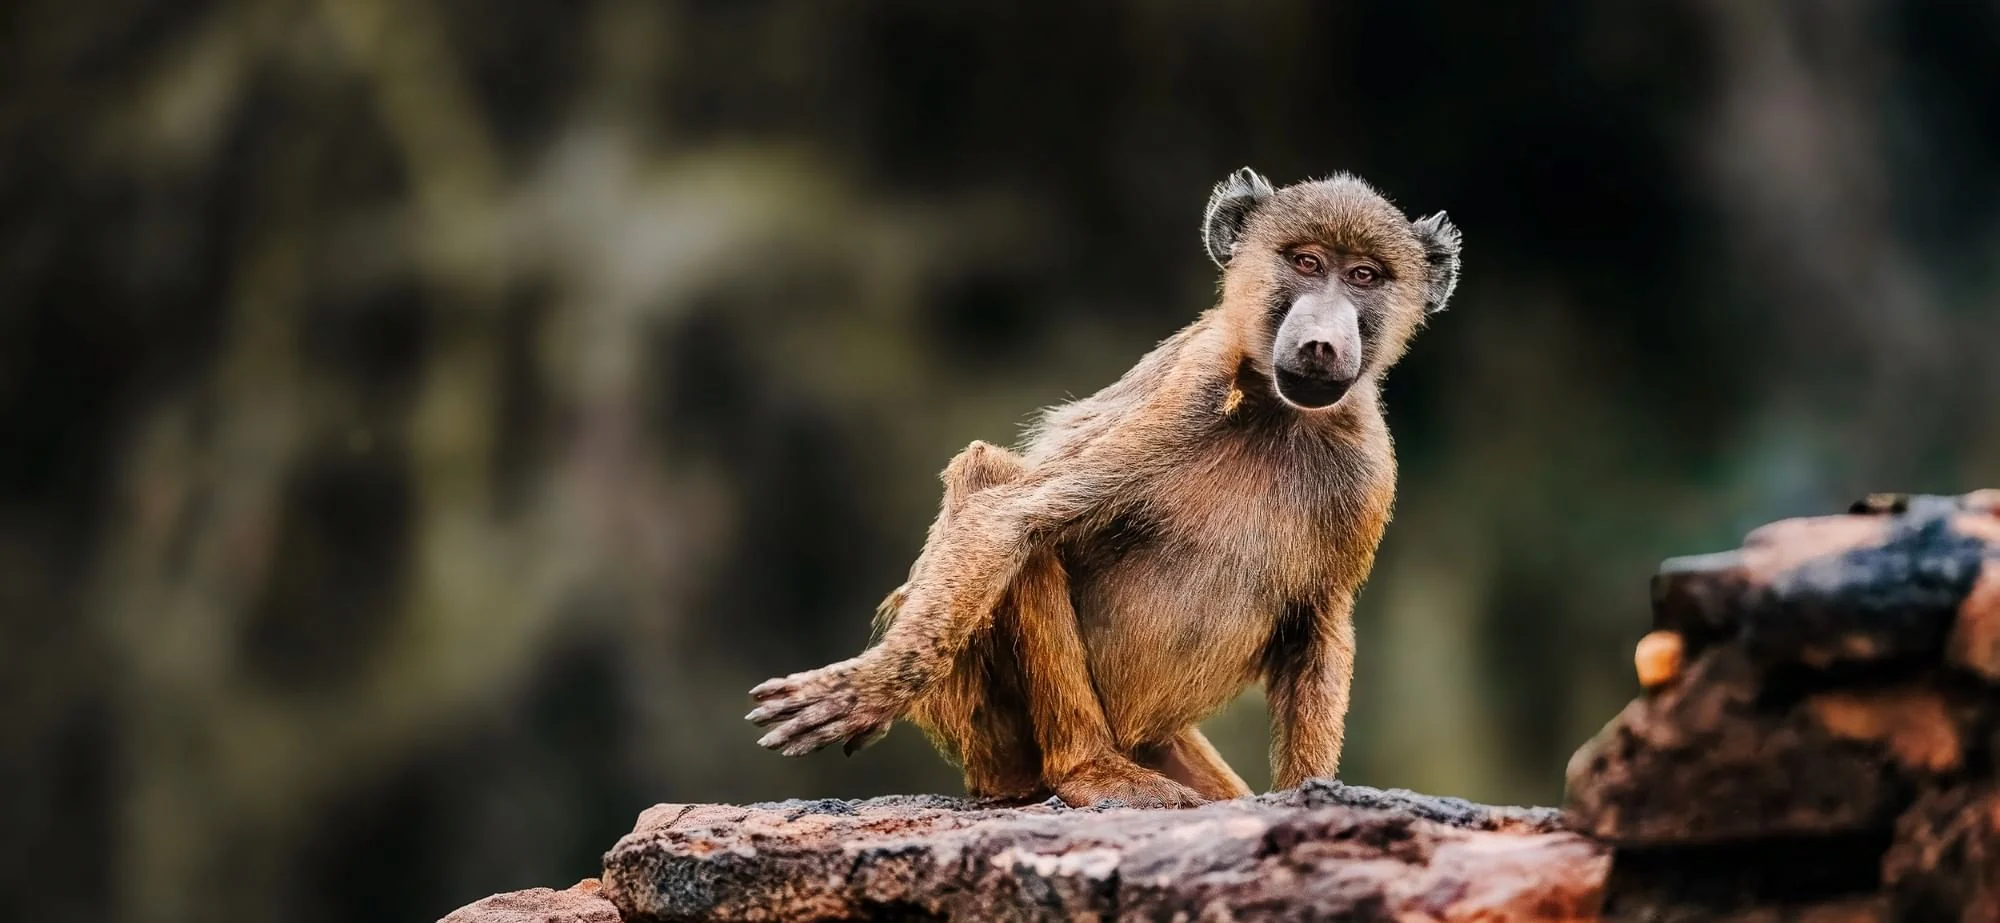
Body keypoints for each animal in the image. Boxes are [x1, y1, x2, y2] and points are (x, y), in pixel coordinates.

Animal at [746, 167, 1462, 808]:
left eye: (1364, 276)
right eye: (1308, 263)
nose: (1320, 344)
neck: (1279, 413)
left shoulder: (1366, 466)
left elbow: (1321, 621)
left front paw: (1311, 795)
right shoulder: (1193, 390)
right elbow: (1009, 516)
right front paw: (867, 691)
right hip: (986, 719)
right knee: (999, 488)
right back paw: (1088, 770)